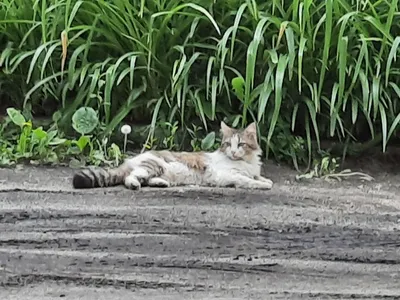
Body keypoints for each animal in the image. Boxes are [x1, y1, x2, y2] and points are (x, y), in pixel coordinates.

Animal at [72, 121, 274, 190]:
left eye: (240, 144)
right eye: (227, 144)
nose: (232, 151)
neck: (246, 161)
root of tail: (130, 160)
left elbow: (259, 177)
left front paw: (265, 180)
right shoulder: (227, 175)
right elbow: (247, 180)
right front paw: (262, 185)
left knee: (145, 179)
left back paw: (160, 183)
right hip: (153, 165)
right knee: (129, 178)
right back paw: (135, 185)